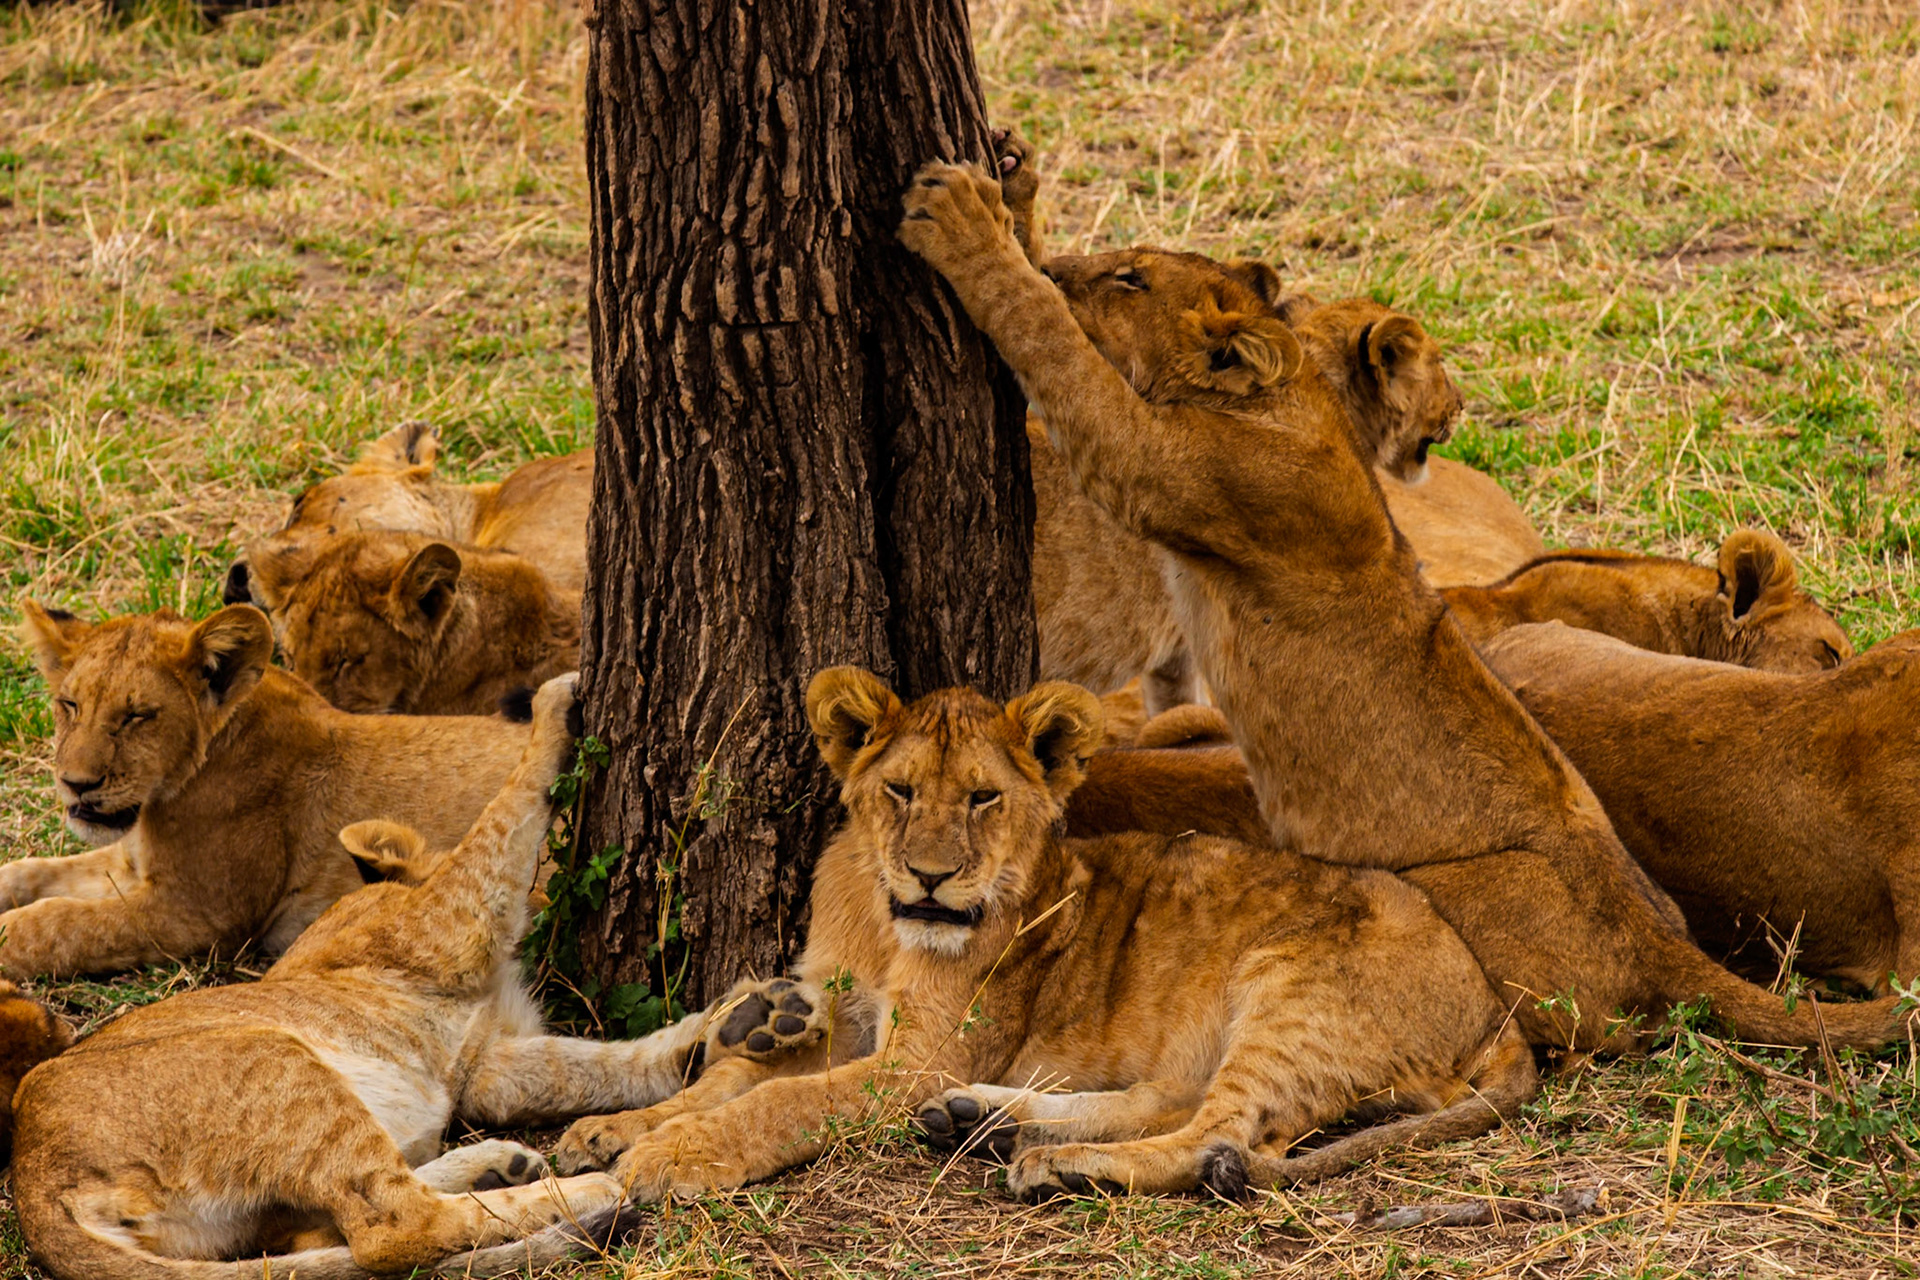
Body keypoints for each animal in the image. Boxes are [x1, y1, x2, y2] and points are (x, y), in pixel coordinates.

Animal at [4, 602, 537, 978]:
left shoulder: (200, 916)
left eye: (138, 716)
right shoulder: (131, 865)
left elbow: (60, 924)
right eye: (70, 705)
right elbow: (37, 873)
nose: (76, 785)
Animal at [9, 675, 828, 1279]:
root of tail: (31, 1179)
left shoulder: (485, 1061)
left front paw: (745, 1025)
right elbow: (502, 818)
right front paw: (554, 707)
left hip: (242, 1211)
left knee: (329, 1235)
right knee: (393, 1229)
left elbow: (598, 1065)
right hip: (276, 1064)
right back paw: (580, 1194)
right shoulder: (451, 922)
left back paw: (501, 1166)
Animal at [549, 669, 1534, 1202]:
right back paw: (987, 1125)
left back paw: (1056, 1165)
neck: (884, 925)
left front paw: (673, 1155)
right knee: (1174, 1104)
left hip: (1290, 993)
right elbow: (734, 1076)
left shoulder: (917, 1061)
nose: (931, 877)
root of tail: (1496, 1004)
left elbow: (776, 1103)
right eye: (901, 790)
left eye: (984, 798)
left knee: (1222, 1139)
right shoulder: (848, 1022)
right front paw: (614, 1130)